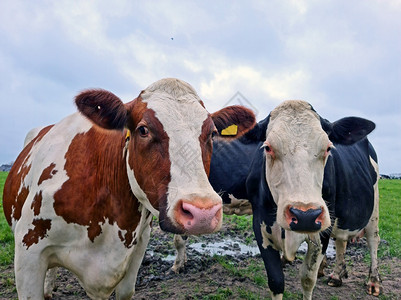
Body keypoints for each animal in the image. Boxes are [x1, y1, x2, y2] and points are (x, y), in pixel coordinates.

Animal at [172, 99, 378, 298]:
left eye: (328, 148)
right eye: (268, 148)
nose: (305, 215)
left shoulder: (322, 231)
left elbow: (307, 280)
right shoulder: (261, 226)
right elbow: (276, 281)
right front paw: (179, 265)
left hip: (373, 207)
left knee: (373, 239)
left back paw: (373, 282)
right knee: (342, 240)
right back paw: (336, 275)